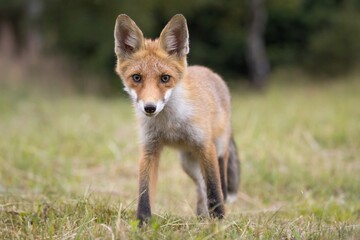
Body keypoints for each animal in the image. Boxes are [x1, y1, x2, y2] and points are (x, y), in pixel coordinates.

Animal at [114, 14, 240, 224]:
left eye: (165, 78)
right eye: (137, 77)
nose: (150, 107)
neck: (170, 125)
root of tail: (208, 71)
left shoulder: (205, 146)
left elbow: (215, 189)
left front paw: (219, 222)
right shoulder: (149, 148)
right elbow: (144, 191)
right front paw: (143, 223)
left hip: (219, 148)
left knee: (219, 184)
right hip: (188, 163)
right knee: (200, 187)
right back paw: (201, 216)